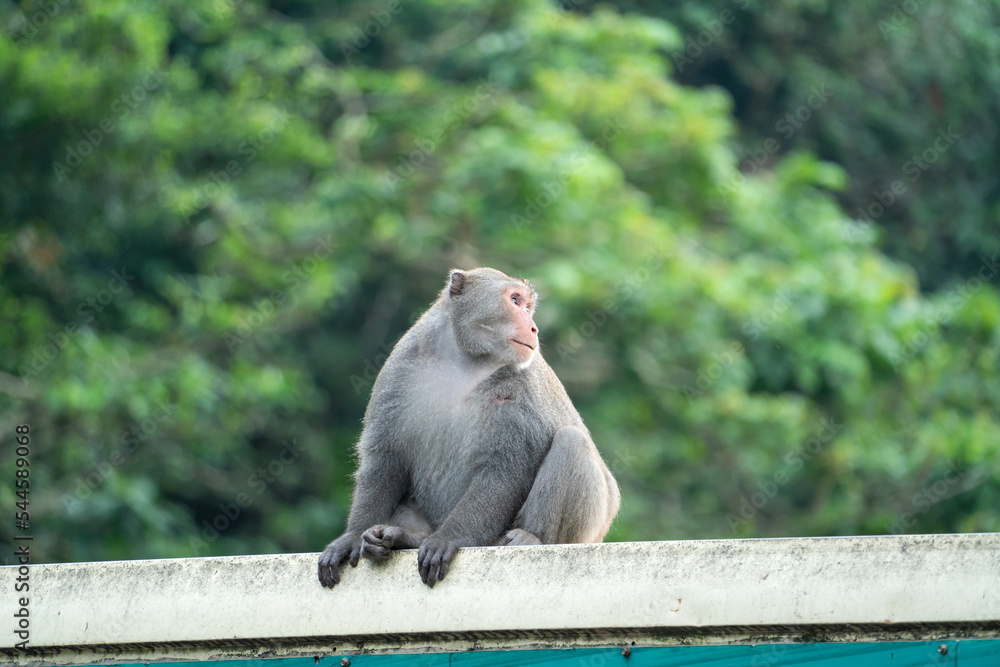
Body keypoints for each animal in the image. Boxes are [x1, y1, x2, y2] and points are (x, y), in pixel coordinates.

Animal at [316, 268, 620, 588]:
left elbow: (504, 470)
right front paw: (350, 538)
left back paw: (533, 538)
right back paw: (403, 537)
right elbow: (385, 458)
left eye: (527, 305)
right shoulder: (400, 369)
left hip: (587, 529)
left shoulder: (521, 386)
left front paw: (448, 539)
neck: (464, 362)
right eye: (515, 300)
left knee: (571, 442)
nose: (534, 328)